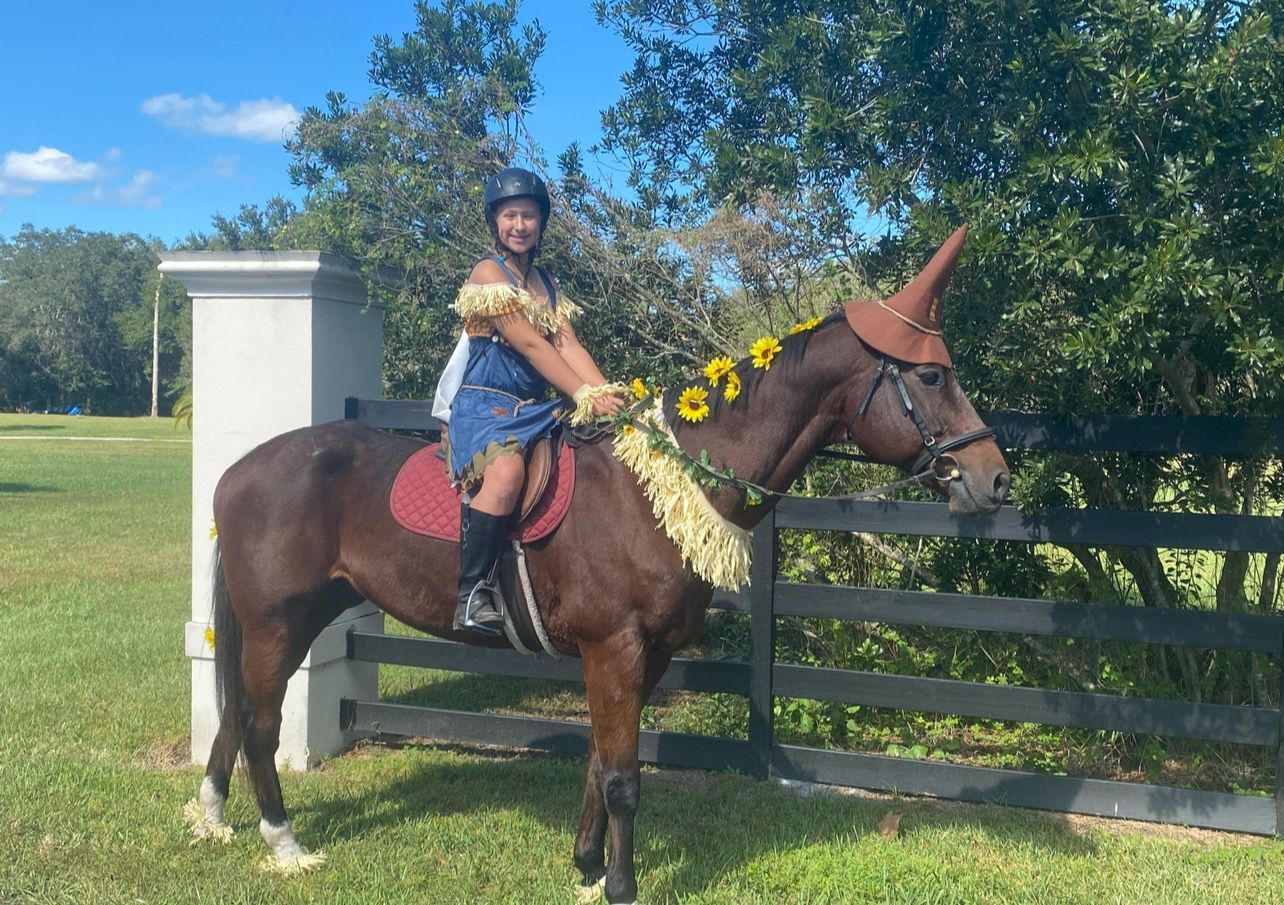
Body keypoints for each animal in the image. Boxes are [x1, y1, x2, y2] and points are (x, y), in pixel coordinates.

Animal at [186, 273, 1009, 905]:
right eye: (932, 375)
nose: (995, 478)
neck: (660, 489)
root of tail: (238, 470)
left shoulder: (639, 655)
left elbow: (599, 759)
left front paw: (584, 864)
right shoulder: (614, 647)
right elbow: (621, 777)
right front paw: (619, 884)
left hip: (296, 617)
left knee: (238, 715)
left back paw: (215, 814)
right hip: (278, 623)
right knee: (260, 722)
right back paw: (283, 840)